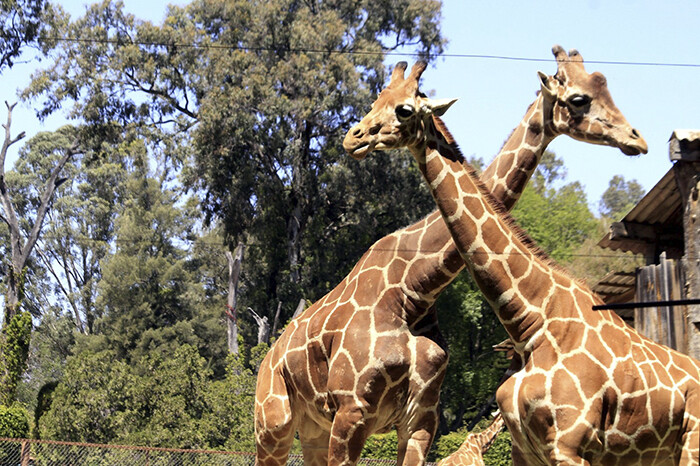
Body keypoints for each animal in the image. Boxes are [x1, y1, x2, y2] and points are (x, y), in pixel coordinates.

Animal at [258, 44, 652, 466]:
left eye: (403, 108)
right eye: (580, 99)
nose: (354, 137)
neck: (414, 289)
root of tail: (269, 357)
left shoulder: (420, 418)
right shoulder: (352, 410)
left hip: (314, 428)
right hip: (274, 423)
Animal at [344, 61, 700, 466]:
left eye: (404, 109)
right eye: (377, 100)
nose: (353, 138)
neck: (531, 321)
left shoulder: (569, 445)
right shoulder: (525, 449)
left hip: (691, 444)